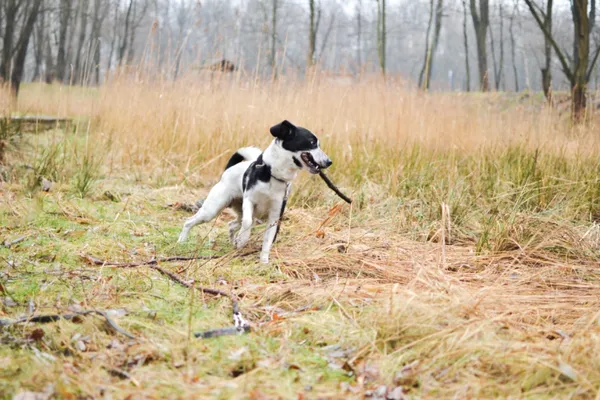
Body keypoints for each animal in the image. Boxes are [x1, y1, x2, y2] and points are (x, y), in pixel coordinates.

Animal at [176, 120, 332, 264]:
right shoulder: (249, 201)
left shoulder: (275, 216)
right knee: (189, 222)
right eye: (312, 142)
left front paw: (263, 262)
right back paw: (181, 241)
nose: (329, 162)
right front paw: (243, 239)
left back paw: (233, 243)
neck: (273, 174)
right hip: (211, 210)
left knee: (231, 225)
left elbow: (267, 241)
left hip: (248, 215)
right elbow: (247, 222)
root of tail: (229, 169)